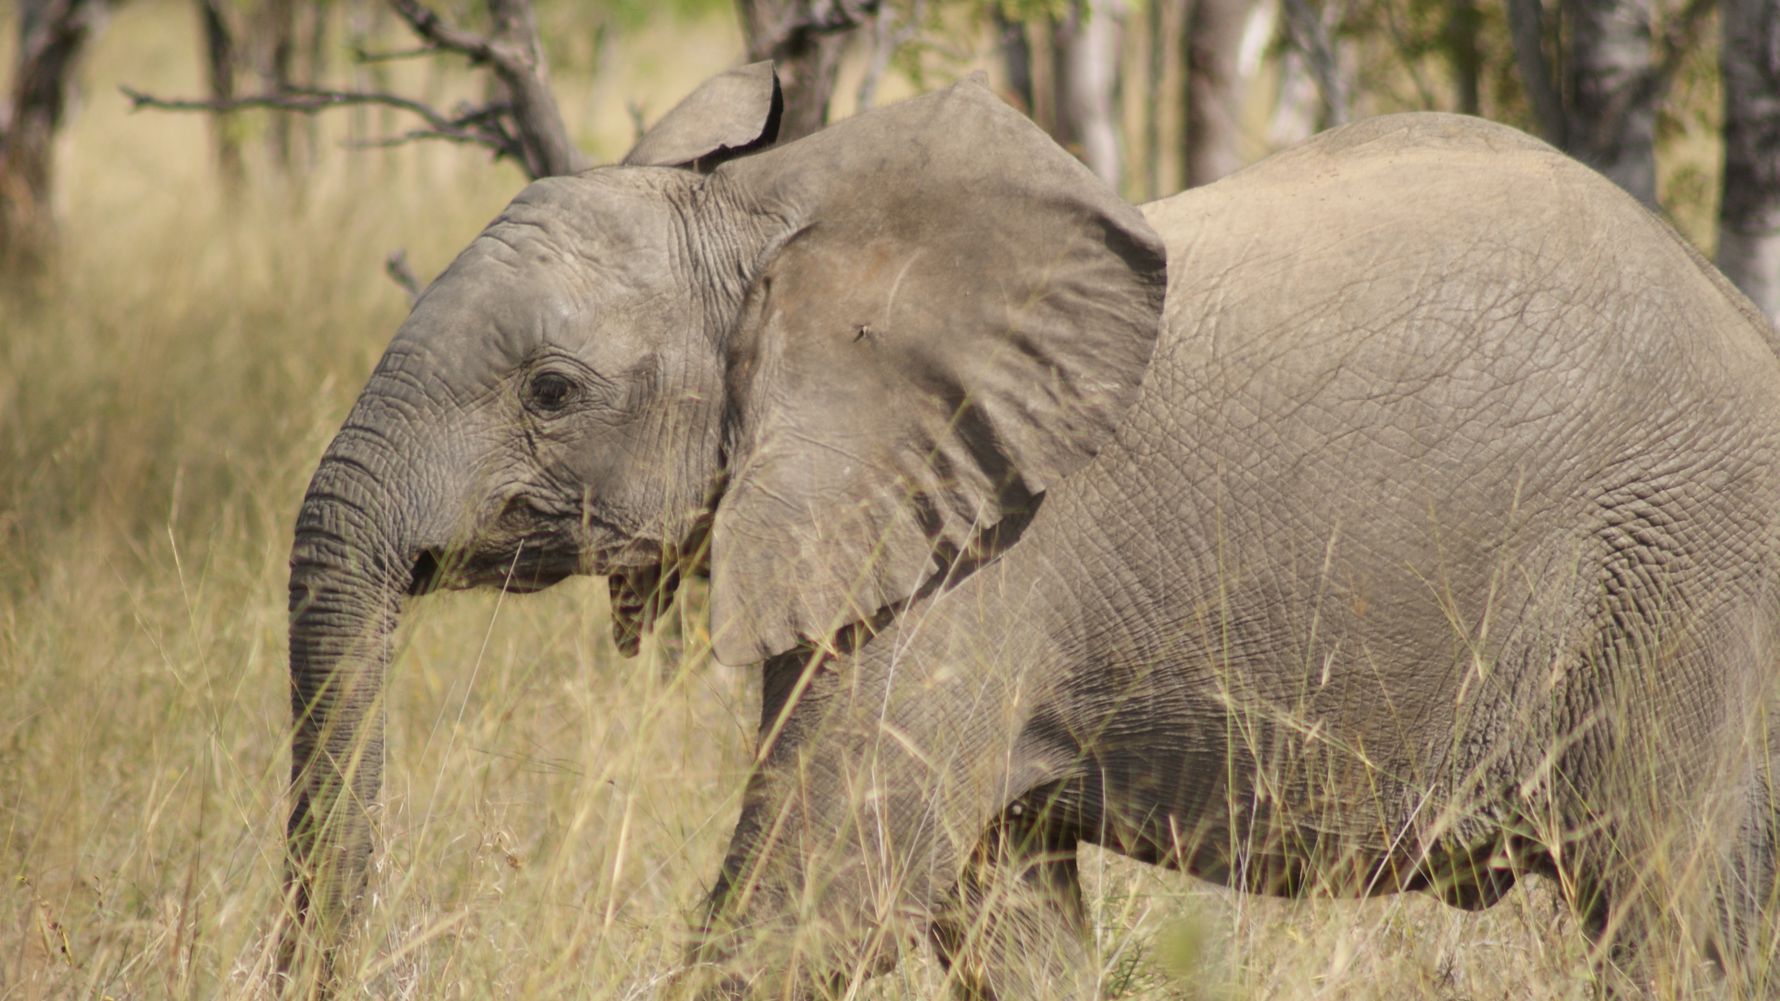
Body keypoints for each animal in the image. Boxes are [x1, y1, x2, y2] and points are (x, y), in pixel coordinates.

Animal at [280, 62, 1780, 999]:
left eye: (552, 391)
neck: (773, 214)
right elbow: (994, 913)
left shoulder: (979, 562)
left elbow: (820, 895)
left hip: (1683, 582)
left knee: (1667, 915)